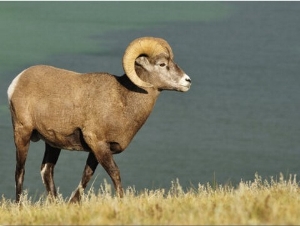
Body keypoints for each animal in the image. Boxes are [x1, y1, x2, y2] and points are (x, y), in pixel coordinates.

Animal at [7, 36, 192, 202]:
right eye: (162, 64)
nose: (187, 81)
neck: (123, 99)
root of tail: (16, 82)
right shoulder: (98, 143)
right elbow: (115, 173)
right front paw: (121, 201)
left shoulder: (97, 149)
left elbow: (87, 175)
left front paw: (73, 203)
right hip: (22, 133)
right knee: (20, 171)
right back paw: (19, 205)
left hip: (52, 143)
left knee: (46, 170)